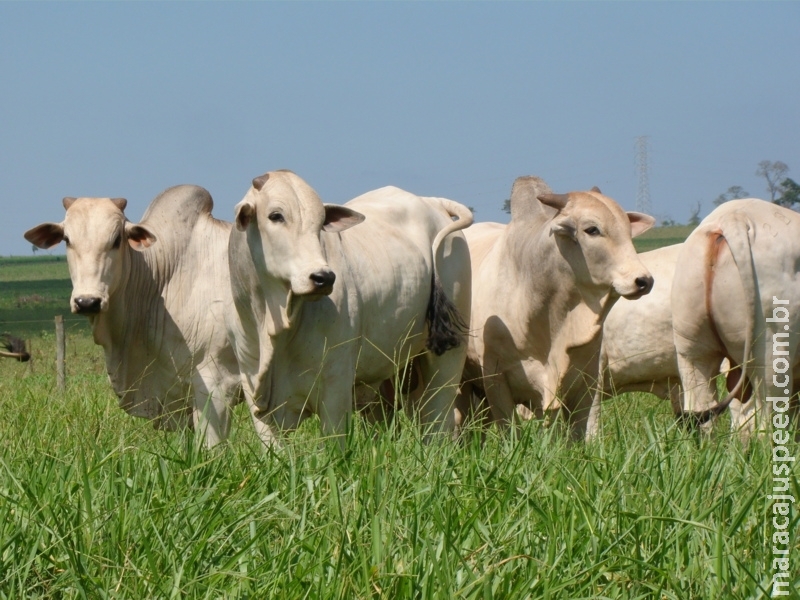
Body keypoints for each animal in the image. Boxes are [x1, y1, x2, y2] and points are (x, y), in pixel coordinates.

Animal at [225, 169, 476, 446]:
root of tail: (432, 201)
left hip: (448, 357)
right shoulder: (256, 395)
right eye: (275, 215)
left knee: (438, 420)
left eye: (320, 222)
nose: (323, 277)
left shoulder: (336, 387)